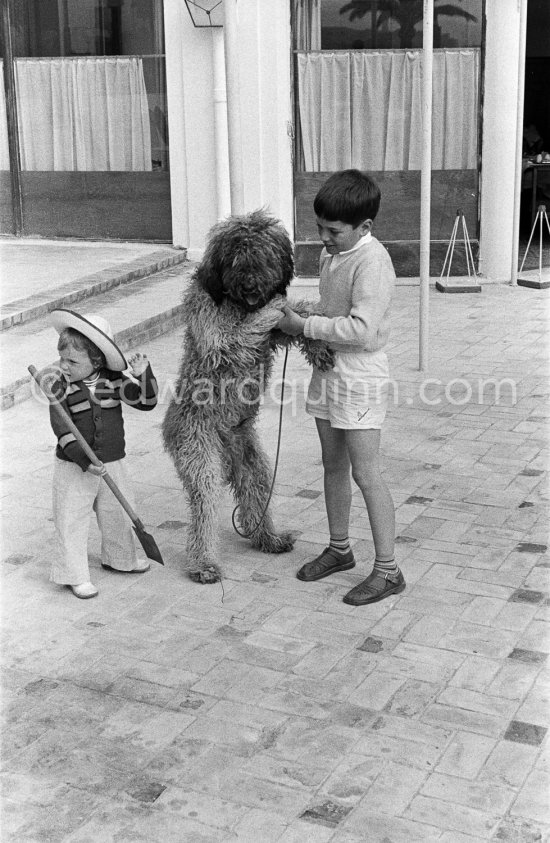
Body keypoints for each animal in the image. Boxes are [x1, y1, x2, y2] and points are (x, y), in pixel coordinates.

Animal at [162, 209, 334, 584]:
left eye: (264, 256)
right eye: (236, 260)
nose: (253, 287)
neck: (235, 301)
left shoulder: (272, 337)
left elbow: (300, 316)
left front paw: (318, 344)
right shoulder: (217, 334)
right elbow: (248, 328)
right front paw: (275, 305)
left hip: (252, 462)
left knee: (255, 498)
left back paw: (269, 538)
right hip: (199, 454)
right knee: (204, 509)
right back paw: (204, 563)